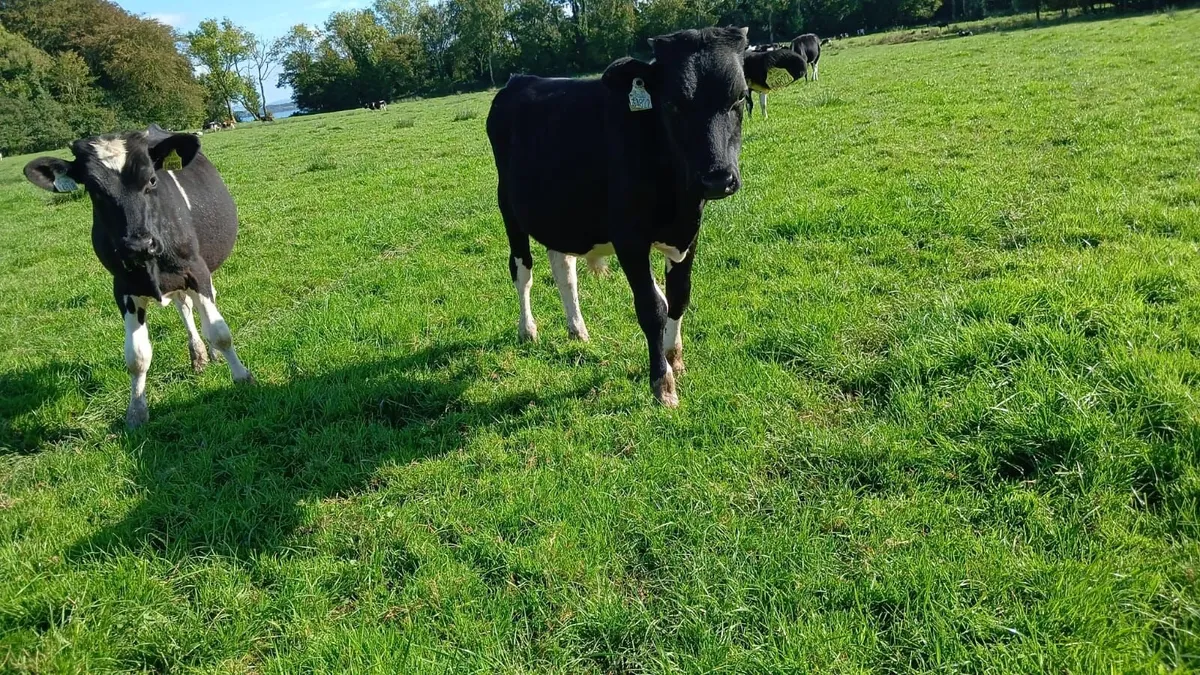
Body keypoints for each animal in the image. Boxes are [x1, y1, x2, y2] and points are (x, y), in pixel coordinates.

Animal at [22, 124, 252, 428]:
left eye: (152, 180)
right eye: (93, 190)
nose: (138, 245)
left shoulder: (196, 270)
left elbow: (220, 332)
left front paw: (242, 377)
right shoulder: (123, 287)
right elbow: (137, 356)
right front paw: (136, 411)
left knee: (202, 305)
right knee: (184, 307)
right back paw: (198, 355)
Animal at [486, 26, 750, 408]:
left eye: (740, 98)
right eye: (672, 103)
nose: (717, 178)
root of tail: (519, 79)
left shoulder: (689, 233)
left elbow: (678, 297)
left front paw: (674, 357)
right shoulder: (630, 238)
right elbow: (651, 306)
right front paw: (662, 383)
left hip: (561, 213)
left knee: (564, 270)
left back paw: (577, 329)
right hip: (509, 208)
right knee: (522, 271)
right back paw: (528, 329)